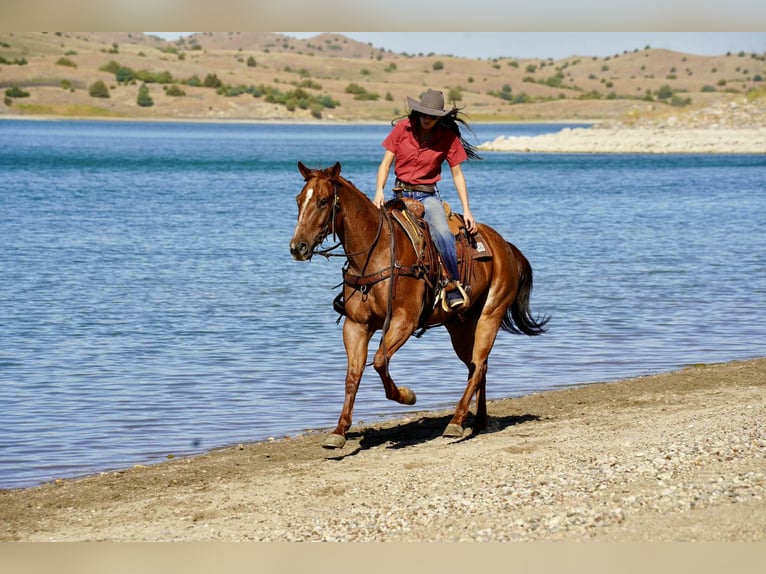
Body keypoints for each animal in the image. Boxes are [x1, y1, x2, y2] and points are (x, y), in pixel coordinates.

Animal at [289, 161, 549, 449]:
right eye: (299, 200)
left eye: (323, 201)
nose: (298, 247)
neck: (375, 253)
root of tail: (505, 246)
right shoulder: (356, 325)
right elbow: (353, 375)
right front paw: (339, 431)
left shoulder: (403, 321)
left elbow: (379, 361)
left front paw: (407, 395)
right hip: (460, 326)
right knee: (477, 367)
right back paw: (479, 420)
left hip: (489, 315)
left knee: (479, 364)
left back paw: (456, 422)